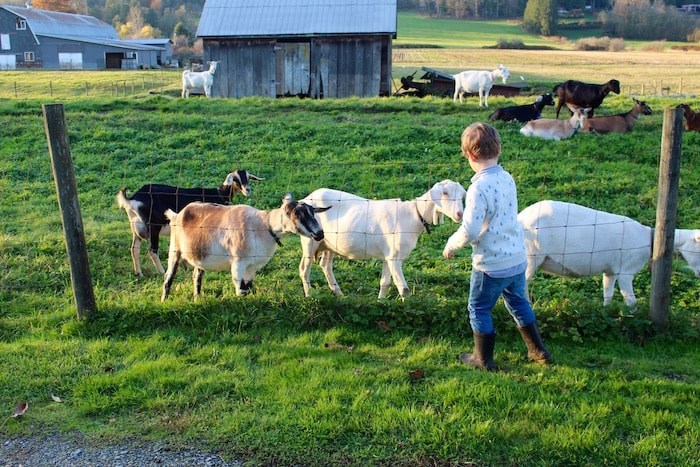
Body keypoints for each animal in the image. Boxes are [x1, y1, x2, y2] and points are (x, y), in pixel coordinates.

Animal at [116, 169, 264, 276]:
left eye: (248, 177)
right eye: (236, 179)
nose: (247, 190)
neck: (219, 194)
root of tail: (133, 199)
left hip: (137, 229)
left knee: (134, 249)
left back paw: (138, 273)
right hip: (153, 227)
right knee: (152, 251)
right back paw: (162, 271)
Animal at [161, 196, 330, 302]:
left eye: (313, 213)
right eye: (297, 214)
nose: (319, 233)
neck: (264, 225)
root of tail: (177, 215)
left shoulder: (251, 267)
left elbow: (248, 288)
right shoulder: (238, 263)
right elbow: (241, 290)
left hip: (199, 256)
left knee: (197, 276)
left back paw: (197, 300)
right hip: (175, 249)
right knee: (169, 277)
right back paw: (164, 300)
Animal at [300, 181, 468, 298]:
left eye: (462, 196)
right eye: (445, 193)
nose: (460, 214)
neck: (413, 215)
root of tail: (306, 199)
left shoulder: (389, 255)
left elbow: (385, 283)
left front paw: (381, 302)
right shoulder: (395, 257)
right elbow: (404, 289)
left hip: (328, 244)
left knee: (325, 265)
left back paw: (338, 293)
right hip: (310, 240)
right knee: (304, 269)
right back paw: (309, 295)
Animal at [520, 200, 700, 308]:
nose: (699, 274)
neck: (649, 239)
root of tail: (520, 217)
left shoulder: (611, 271)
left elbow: (608, 294)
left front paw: (606, 311)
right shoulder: (626, 270)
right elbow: (630, 299)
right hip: (530, 256)